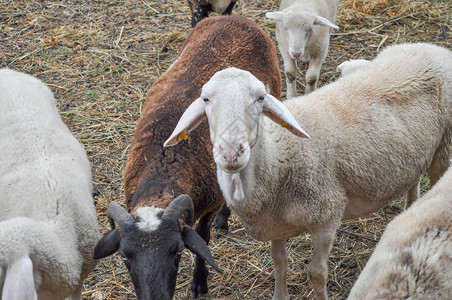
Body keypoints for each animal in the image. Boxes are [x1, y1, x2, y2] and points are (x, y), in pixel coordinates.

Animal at [93, 16, 280, 300]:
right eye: (125, 256)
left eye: (178, 250)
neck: (163, 167)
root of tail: (236, 18)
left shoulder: (208, 202)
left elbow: (202, 238)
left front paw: (199, 282)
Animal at [165, 42, 452, 300]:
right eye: (206, 99)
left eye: (260, 98)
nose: (231, 152)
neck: (277, 157)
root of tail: (433, 48)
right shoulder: (275, 225)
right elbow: (279, 263)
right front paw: (279, 296)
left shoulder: (326, 218)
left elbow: (317, 273)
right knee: (413, 182)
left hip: (443, 151)